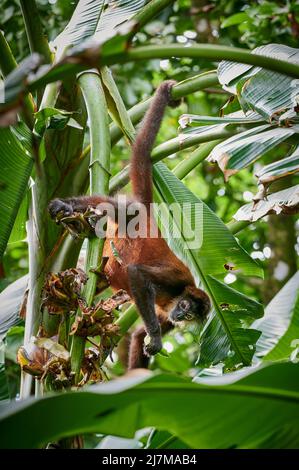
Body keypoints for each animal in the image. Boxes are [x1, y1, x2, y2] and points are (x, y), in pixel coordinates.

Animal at [48, 81, 211, 370]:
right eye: (185, 306)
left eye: (191, 315)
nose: (181, 316)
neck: (178, 294)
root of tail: (149, 217)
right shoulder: (177, 279)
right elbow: (137, 273)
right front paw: (155, 338)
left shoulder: (167, 313)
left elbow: (137, 335)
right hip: (133, 216)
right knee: (119, 210)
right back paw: (67, 206)